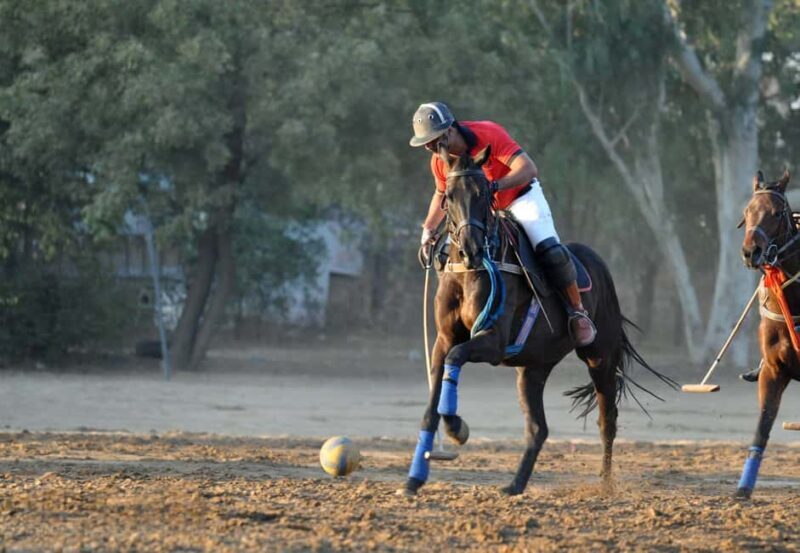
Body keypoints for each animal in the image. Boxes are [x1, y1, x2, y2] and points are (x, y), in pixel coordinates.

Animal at [400, 145, 675, 497]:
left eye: (484, 192)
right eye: (448, 195)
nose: (472, 250)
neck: (469, 272)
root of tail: (600, 264)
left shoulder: (493, 340)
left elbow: (457, 358)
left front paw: (458, 428)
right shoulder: (444, 339)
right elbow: (432, 403)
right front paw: (414, 478)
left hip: (600, 355)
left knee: (607, 418)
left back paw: (605, 483)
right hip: (533, 367)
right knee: (538, 428)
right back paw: (515, 485)